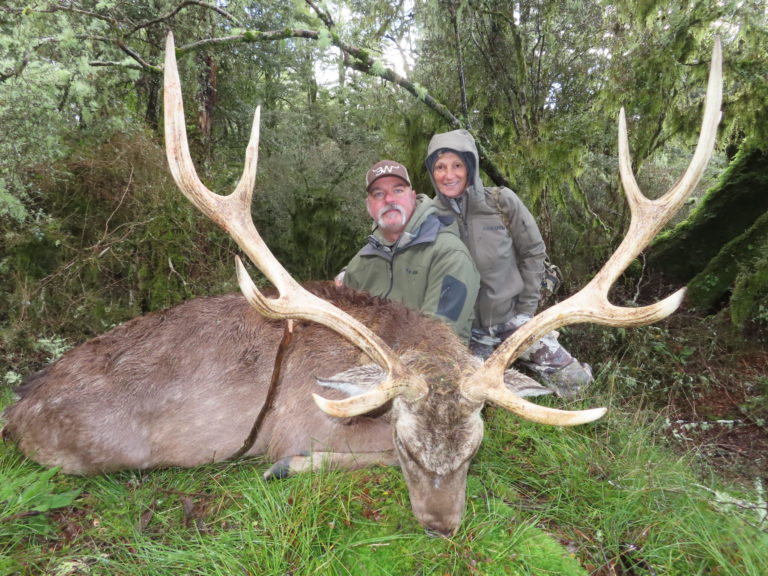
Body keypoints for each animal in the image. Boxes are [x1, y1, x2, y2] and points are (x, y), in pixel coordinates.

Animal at [1, 33, 722, 537]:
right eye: (406, 444)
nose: (441, 527)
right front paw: (288, 467)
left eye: (474, 447)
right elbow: (322, 455)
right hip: (93, 448)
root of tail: (18, 406)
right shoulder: (304, 423)